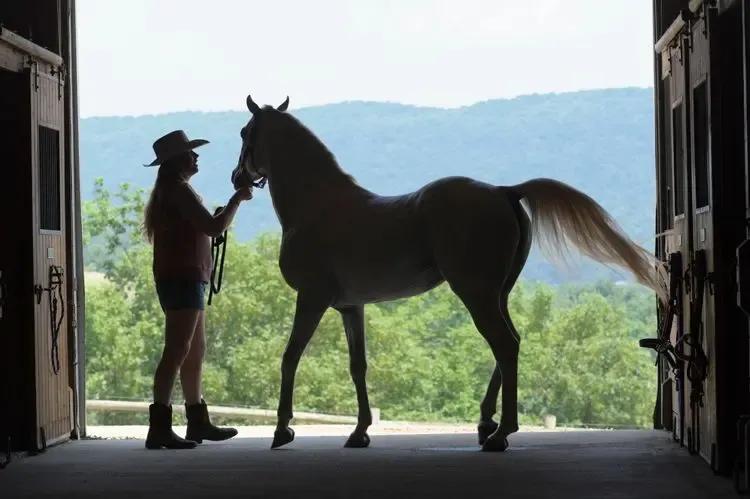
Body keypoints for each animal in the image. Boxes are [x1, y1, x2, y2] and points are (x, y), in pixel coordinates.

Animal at [231, 94, 668, 452]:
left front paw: (282, 430)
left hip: (475, 292)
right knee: (509, 344)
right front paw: (359, 432)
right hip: (496, 293)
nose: (237, 179)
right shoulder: (351, 307)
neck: (319, 207)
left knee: (504, 344)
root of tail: (504, 191)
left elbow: (290, 357)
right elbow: (358, 367)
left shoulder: (312, 299)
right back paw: (486, 423)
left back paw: (500, 434)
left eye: (244, 132)